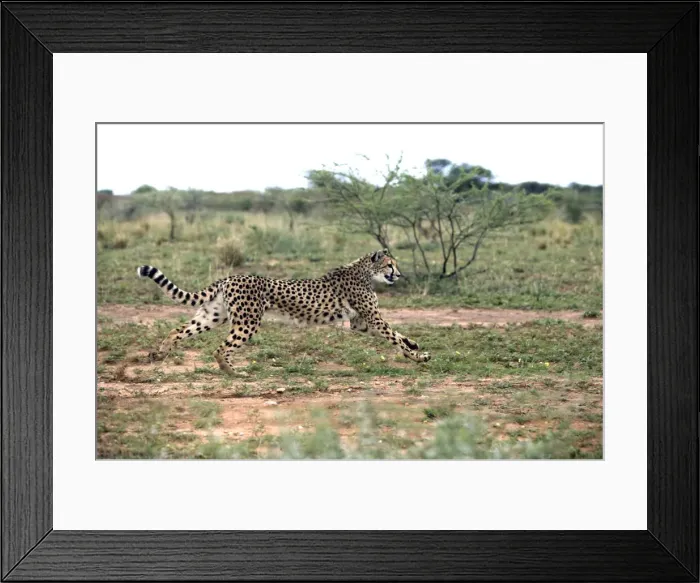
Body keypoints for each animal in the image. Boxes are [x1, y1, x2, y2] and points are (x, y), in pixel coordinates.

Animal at [136, 248, 431, 373]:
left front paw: (414, 347)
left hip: (214, 316)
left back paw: (159, 353)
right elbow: (392, 335)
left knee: (178, 330)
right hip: (247, 321)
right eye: (390, 265)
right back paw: (233, 372)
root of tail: (230, 277)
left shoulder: (361, 323)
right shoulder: (372, 320)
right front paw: (419, 356)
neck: (365, 271)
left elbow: (397, 335)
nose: (399, 275)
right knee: (221, 348)